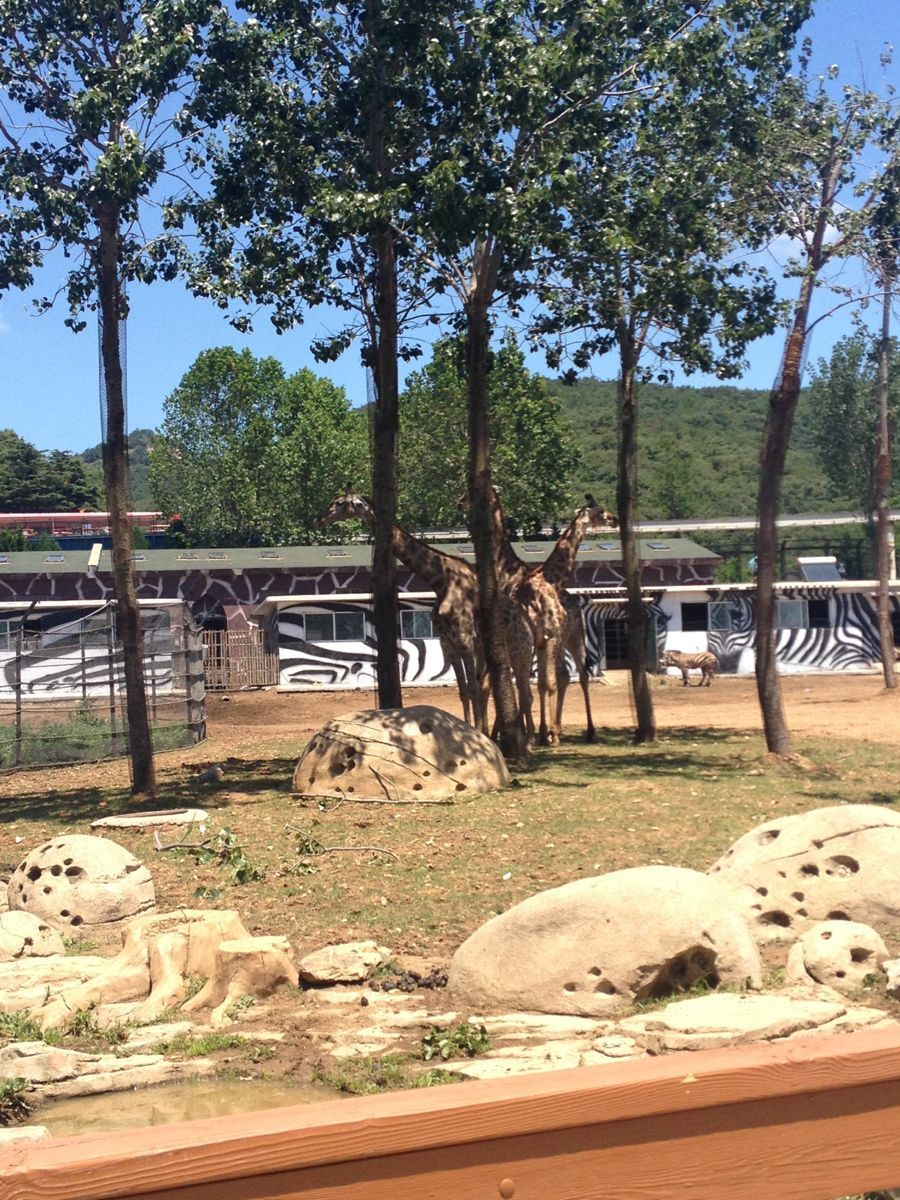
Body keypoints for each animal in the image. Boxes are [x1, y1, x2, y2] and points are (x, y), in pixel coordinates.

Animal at [314, 487, 489, 729]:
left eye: (339, 503)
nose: (319, 519)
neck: (440, 580)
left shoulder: (463, 637)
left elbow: (472, 688)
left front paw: (477, 732)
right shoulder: (447, 641)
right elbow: (463, 690)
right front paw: (468, 728)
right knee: (486, 684)